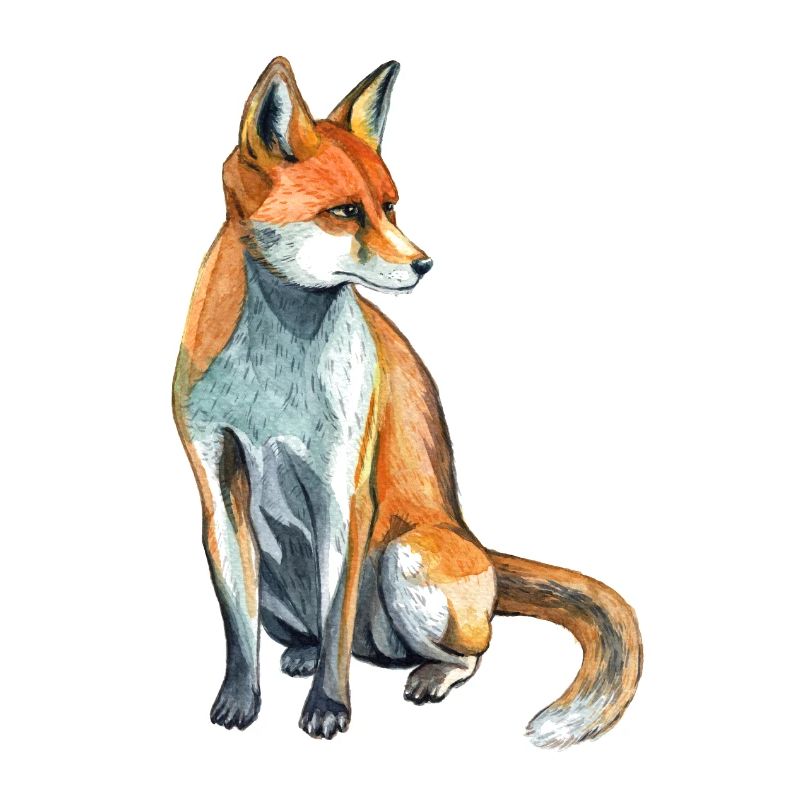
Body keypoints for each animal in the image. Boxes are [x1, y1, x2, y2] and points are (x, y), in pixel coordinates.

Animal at [173, 56, 642, 747]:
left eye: (389, 205)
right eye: (346, 211)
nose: (424, 264)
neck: (270, 376)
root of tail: (477, 542)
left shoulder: (343, 488)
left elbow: (337, 615)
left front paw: (329, 708)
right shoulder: (217, 482)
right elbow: (240, 627)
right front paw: (239, 701)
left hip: (406, 556)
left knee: (464, 650)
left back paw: (430, 674)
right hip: (288, 576)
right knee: (326, 636)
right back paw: (306, 653)